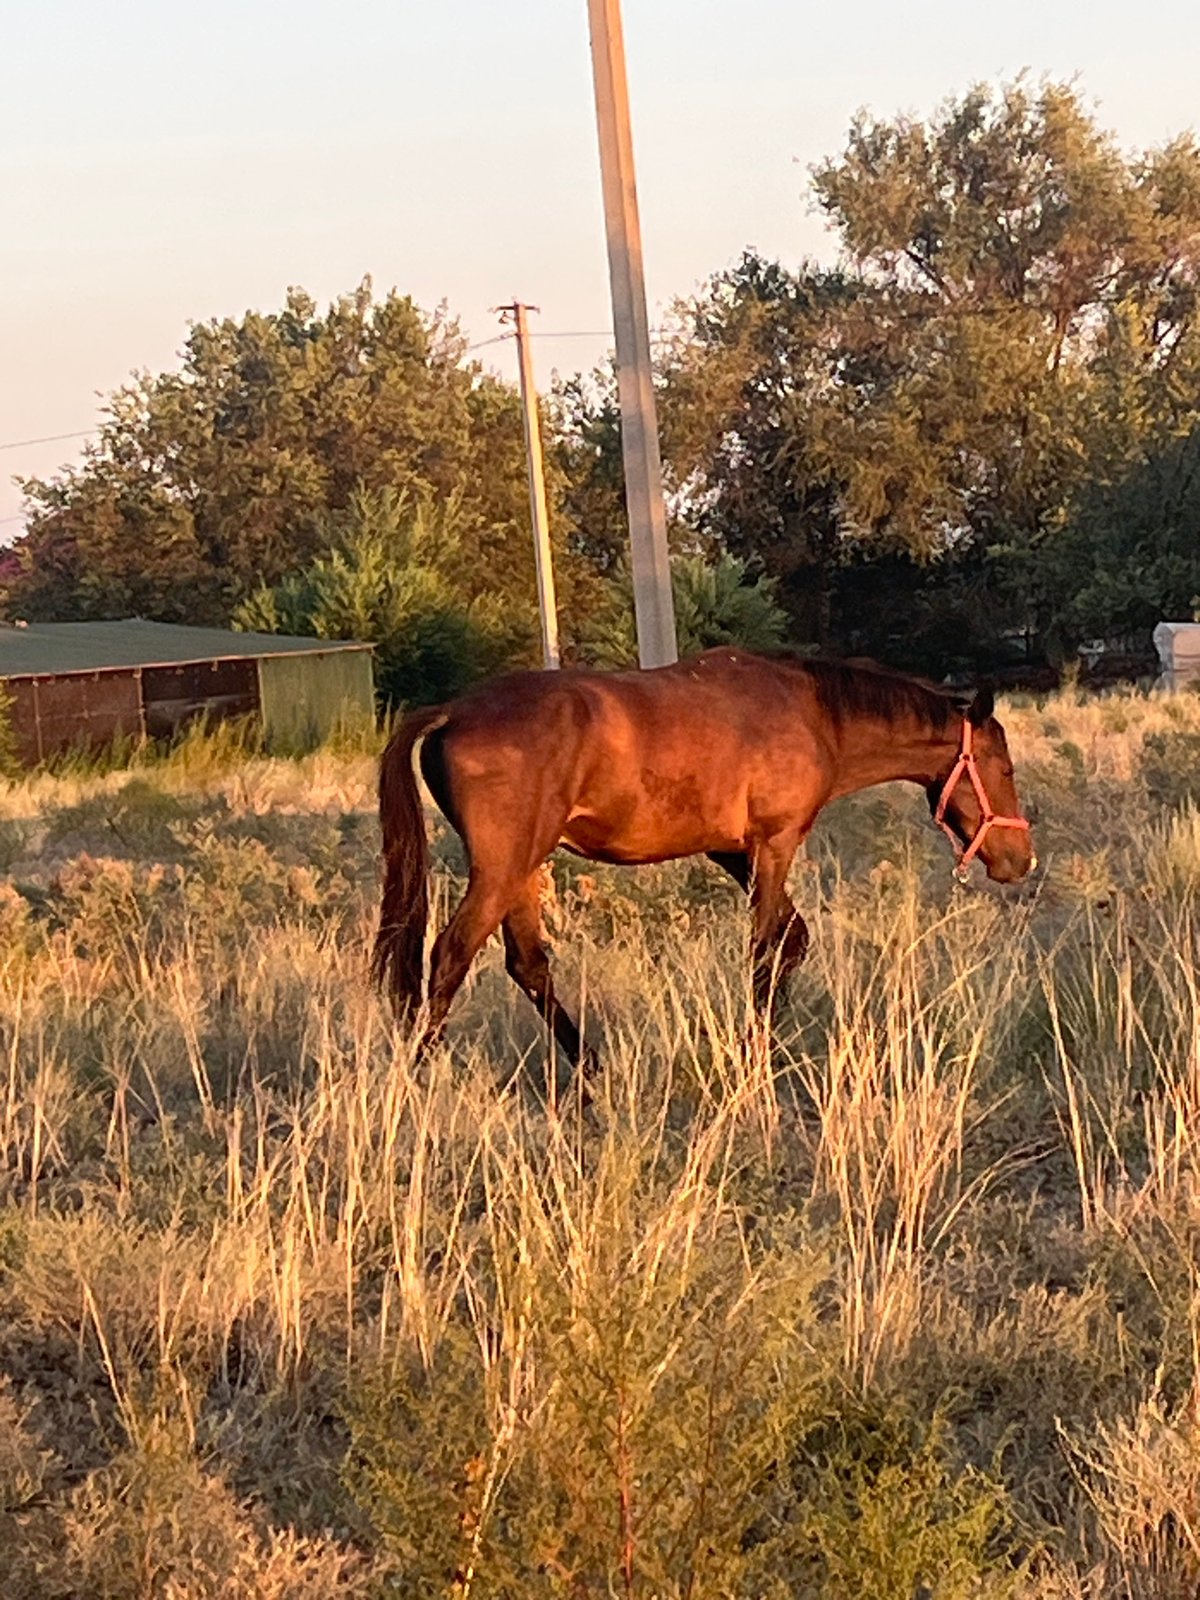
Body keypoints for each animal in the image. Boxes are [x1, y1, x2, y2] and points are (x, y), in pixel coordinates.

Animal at [372, 649, 1035, 1069]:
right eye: (1004, 768)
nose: (1019, 859)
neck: (812, 713)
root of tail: (453, 710)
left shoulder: (732, 852)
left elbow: (792, 939)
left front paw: (766, 1043)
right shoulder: (774, 844)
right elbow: (765, 950)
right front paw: (753, 1056)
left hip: (523, 873)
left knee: (529, 967)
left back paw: (590, 1074)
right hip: (502, 871)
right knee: (450, 956)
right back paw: (421, 1079)